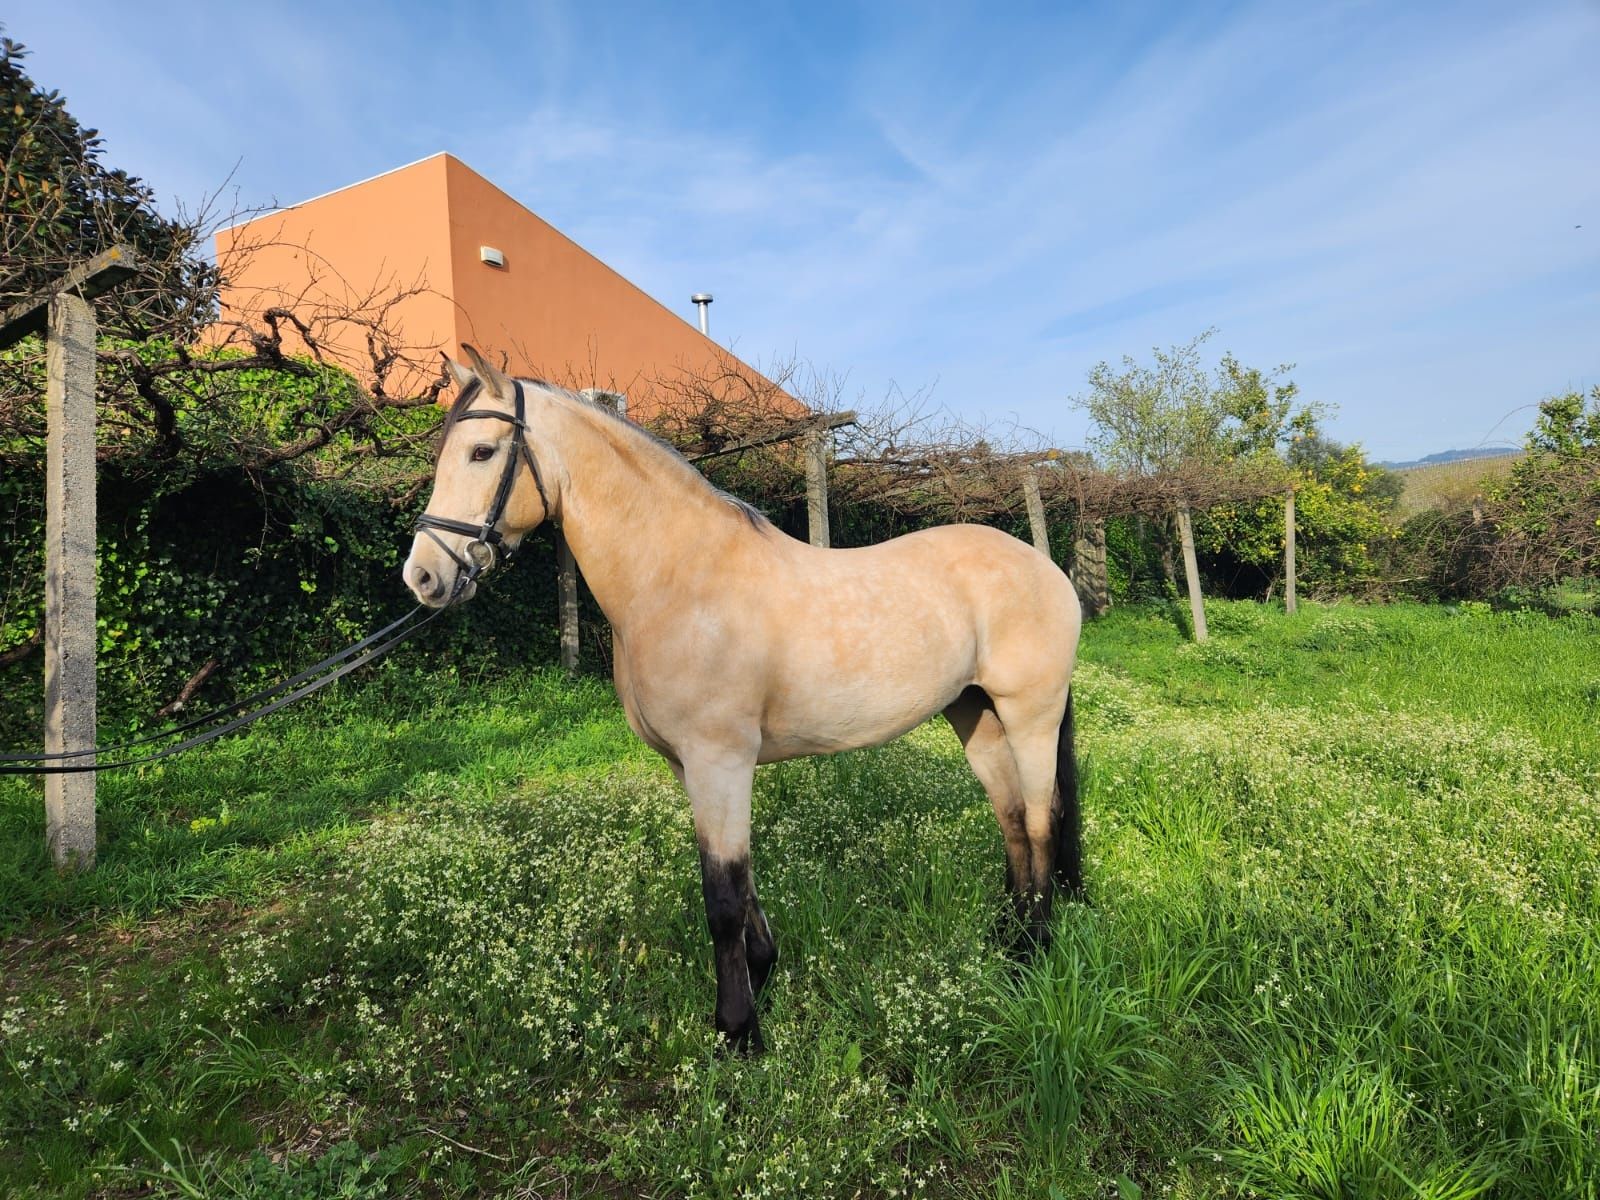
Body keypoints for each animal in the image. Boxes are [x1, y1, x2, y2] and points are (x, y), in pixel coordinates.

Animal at [403, 345, 1088, 1049]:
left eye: (482, 451)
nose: (423, 577)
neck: (680, 580)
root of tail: (1044, 566)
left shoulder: (720, 761)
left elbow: (723, 897)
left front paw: (738, 1029)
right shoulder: (693, 767)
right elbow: (740, 878)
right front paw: (762, 972)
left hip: (1029, 714)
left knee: (1043, 818)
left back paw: (1030, 951)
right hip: (974, 713)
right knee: (1011, 815)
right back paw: (1006, 931)